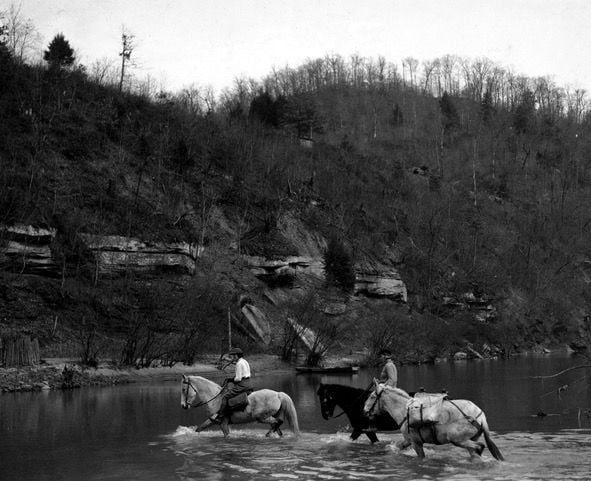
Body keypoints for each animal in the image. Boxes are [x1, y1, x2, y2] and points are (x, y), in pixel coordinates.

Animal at [366, 380, 504, 460]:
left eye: (372, 396)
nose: (364, 410)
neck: (405, 410)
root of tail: (481, 416)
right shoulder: (408, 440)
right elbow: (397, 448)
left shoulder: (416, 443)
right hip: (469, 439)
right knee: (476, 452)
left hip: (457, 440)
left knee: (480, 446)